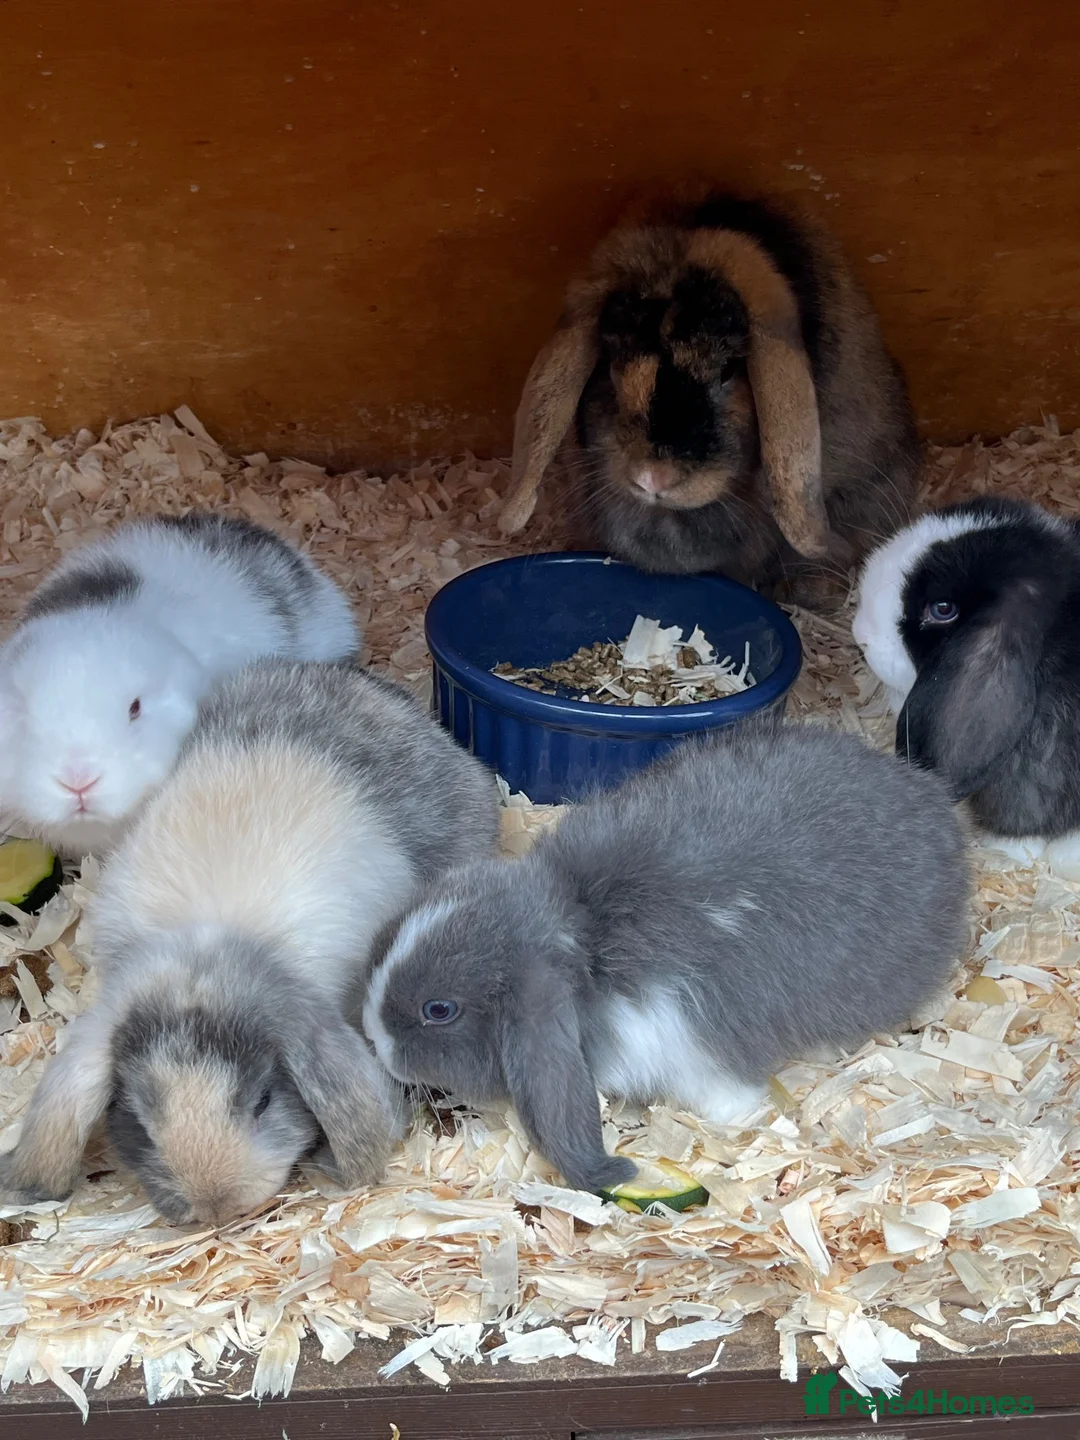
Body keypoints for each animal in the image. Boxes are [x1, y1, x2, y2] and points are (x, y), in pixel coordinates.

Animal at [360, 722, 969, 1194]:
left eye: (439, 1010)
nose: (375, 1040)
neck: (583, 941)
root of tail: (941, 816)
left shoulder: (689, 1048)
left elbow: (729, 1097)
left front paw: (741, 1119)